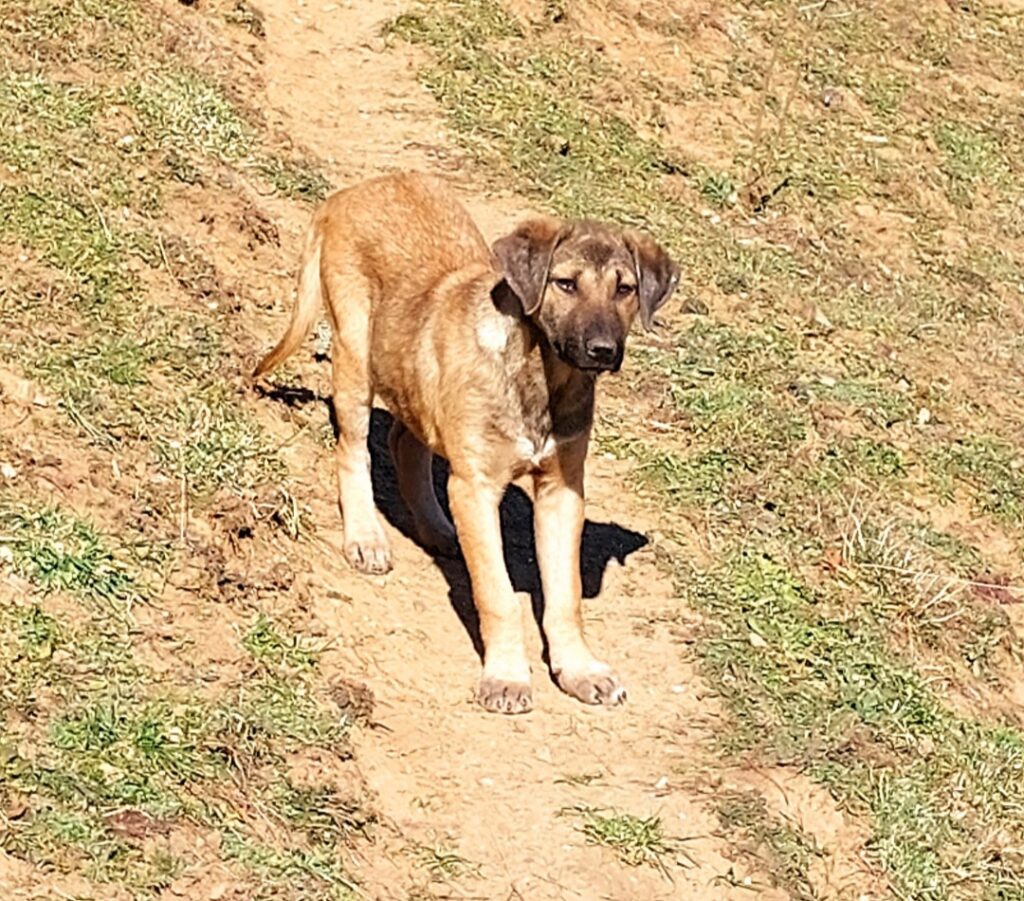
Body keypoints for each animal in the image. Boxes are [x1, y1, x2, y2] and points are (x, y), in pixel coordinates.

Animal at [251, 172, 675, 712]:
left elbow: (566, 597)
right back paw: (365, 536)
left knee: (404, 442)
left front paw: (580, 670)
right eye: (565, 284)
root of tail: (352, 192)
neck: (540, 378)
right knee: (353, 449)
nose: (603, 351)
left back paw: (436, 528)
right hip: (354, 352)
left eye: (625, 289)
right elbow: (497, 593)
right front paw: (507, 677)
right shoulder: (476, 486)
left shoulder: (561, 491)